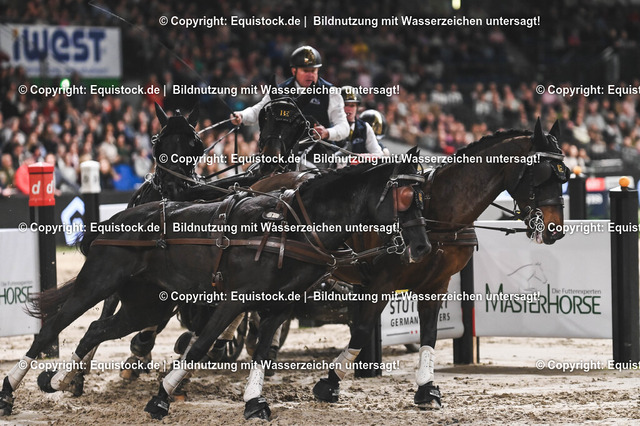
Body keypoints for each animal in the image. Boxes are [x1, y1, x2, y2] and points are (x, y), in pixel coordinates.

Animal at [0, 155, 431, 420]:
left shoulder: (276, 307)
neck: (290, 228)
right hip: (97, 284)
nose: (423, 247)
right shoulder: (235, 300)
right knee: (52, 327)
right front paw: (161, 397)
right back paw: (10, 390)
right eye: (405, 196)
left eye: (423, 198)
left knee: (95, 329)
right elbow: (200, 345)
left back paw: (62, 378)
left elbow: (261, 353)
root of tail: (113, 221)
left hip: (147, 305)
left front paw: (254, 403)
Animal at [310, 119, 568, 410]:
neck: (435, 212)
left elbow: (429, 333)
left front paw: (426, 388)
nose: (555, 229)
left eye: (565, 176)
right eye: (541, 174)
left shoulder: (436, 284)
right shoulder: (381, 283)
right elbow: (363, 330)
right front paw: (330, 382)